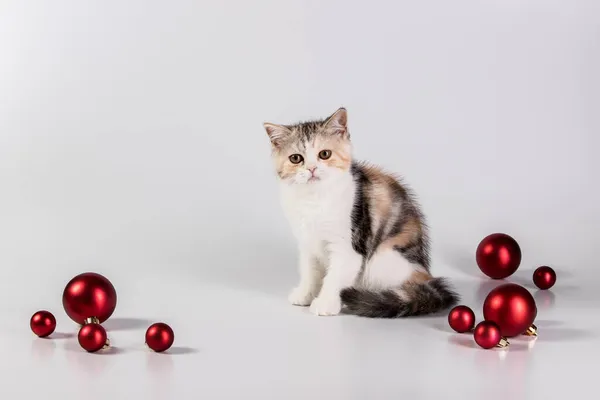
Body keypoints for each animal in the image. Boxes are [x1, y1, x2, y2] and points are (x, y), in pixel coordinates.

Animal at [262, 108, 460, 318]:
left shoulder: (349, 245)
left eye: (324, 154)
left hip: (382, 260)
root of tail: (426, 275)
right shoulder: (307, 241)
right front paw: (305, 293)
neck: (314, 199)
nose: (312, 169)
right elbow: (309, 270)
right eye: (296, 158)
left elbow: (335, 276)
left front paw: (325, 302)